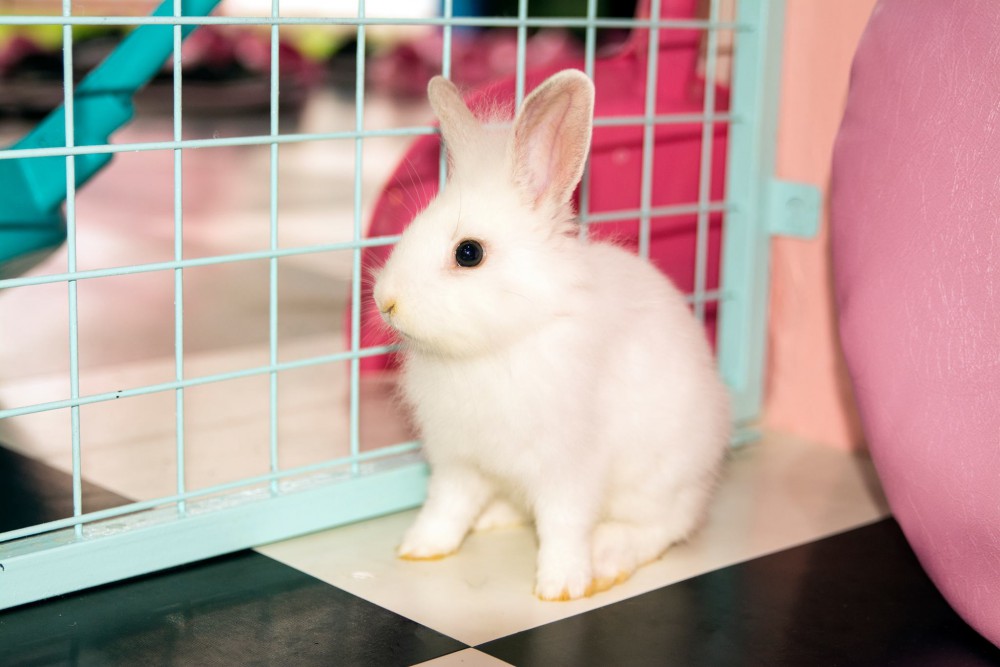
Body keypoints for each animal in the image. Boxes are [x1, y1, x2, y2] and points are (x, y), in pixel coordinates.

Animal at [372, 69, 730, 601]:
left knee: (661, 528)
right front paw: (419, 548)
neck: (500, 344)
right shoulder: (459, 460)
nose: (386, 301)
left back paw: (608, 557)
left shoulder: (569, 468)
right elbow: (445, 506)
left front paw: (561, 586)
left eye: (468, 253)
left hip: (661, 483)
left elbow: (564, 525)